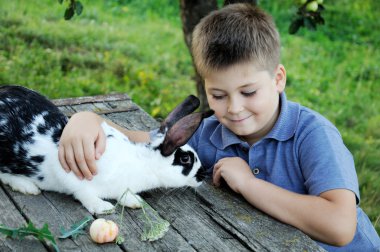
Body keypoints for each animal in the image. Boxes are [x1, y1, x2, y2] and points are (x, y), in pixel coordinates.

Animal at [0, 85, 211, 214]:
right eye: (186, 160)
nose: (203, 176)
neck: (142, 162)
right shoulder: (71, 171)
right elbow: (83, 193)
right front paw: (102, 207)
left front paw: (134, 201)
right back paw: (26, 186)